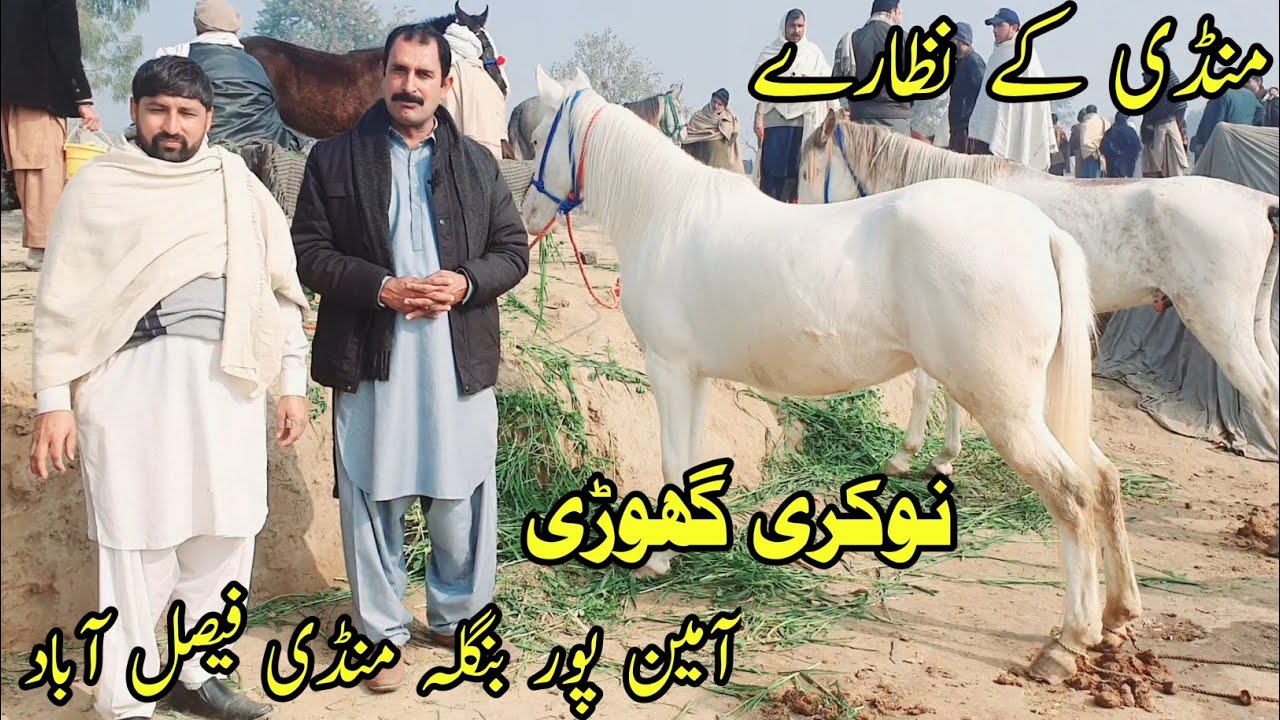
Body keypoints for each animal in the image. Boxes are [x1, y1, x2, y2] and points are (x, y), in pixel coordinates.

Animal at [799, 112, 1280, 476]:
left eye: (806, 171)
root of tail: (1261, 204)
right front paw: (944, 459)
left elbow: (925, 388)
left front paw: (905, 456)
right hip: (1252, 326)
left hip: (1218, 325)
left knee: (1265, 395)